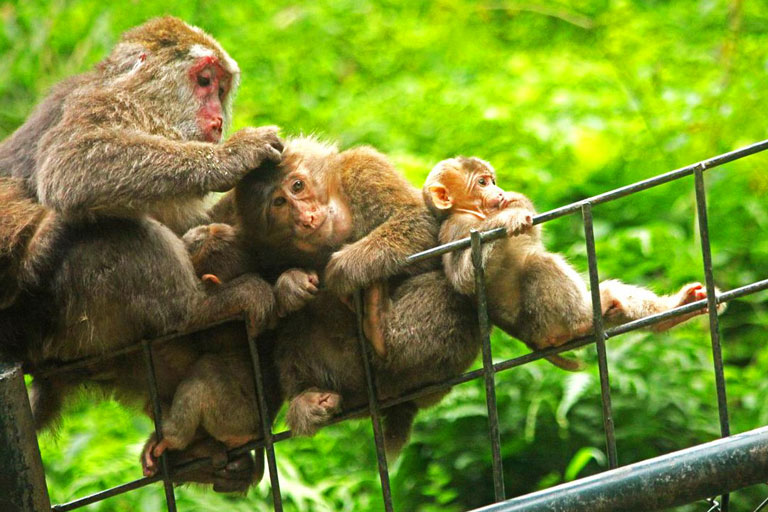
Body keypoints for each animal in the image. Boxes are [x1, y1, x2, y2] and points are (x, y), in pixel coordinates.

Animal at [0, 17, 283, 490]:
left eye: (221, 87)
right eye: (204, 81)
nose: (217, 120)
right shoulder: (102, 104)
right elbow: (72, 162)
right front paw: (231, 157)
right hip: (61, 322)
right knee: (105, 231)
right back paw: (198, 309)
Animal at [423, 156, 724, 367]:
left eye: (493, 181)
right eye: (483, 183)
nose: (499, 192)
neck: (474, 213)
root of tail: (533, 343)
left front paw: (516, 202)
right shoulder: (458, 229)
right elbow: (465, 277)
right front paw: (509, 216)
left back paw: (676, 309)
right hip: (543, 324)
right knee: (540, 265)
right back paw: (583, 320)